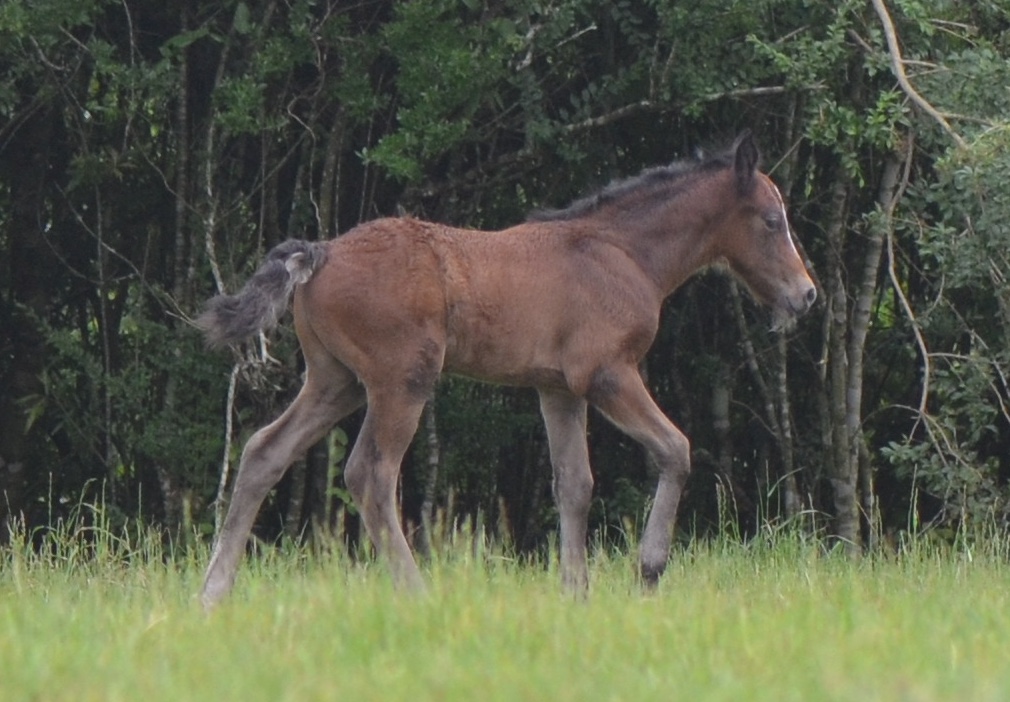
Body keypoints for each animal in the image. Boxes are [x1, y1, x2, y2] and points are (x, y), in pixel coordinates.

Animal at [196, 131, 816, 608]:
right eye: (772, 220)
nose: (806, 294)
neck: (624, 253)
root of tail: (317, 253)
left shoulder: (558, 389)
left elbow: (574, 483)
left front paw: (576, 593)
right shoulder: (608, 372)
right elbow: (675, 448)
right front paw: (648, 570)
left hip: (335, 380)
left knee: (264, 451)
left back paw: (212, 594)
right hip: (401, 381)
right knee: (369, 472)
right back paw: (417, 593)